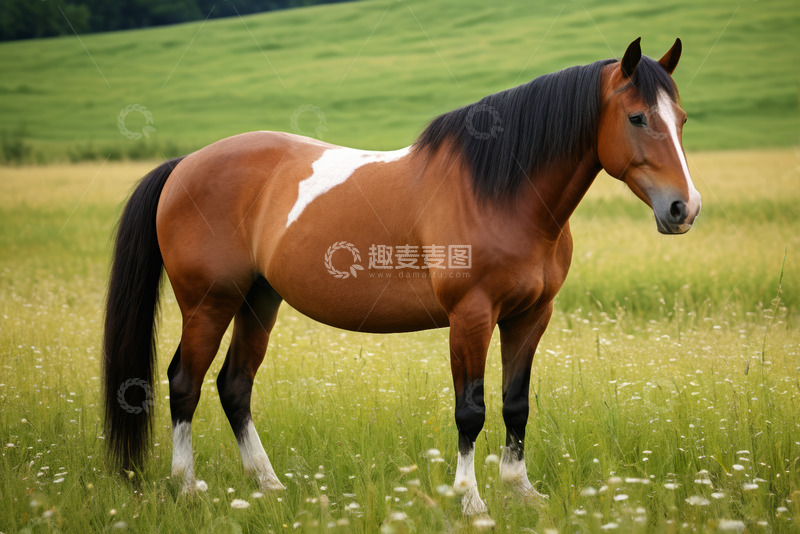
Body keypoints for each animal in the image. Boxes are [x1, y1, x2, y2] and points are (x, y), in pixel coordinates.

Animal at [103, 37, 700, 515]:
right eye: (638, 118)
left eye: (683, 120)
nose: (684, 208)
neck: (499, 191)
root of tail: (184, 164)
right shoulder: (471, 317)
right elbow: (470, 411)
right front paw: (471, 501)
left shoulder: (531, 315)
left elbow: (516, 404)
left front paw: (522, 492)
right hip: (209, 302)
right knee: (185, 382)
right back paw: (187, 486)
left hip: (258, 299)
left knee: (234, 385)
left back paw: (269, 486)